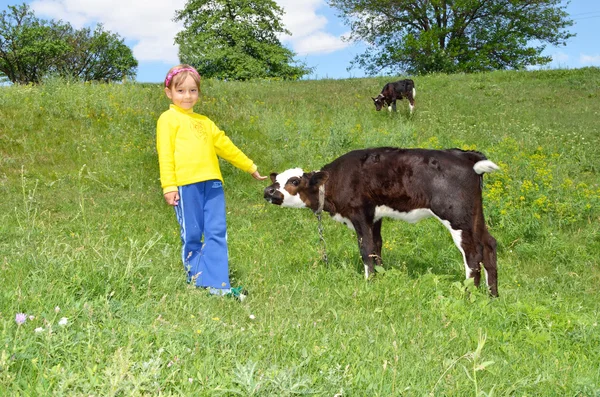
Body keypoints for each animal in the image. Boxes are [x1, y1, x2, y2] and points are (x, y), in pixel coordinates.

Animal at [264, 147, 500, 296]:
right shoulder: (375, 217)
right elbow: (377, 247)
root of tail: (465, 155)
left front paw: (369, 283)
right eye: (276, 180)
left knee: (473, 253)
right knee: (489, 244)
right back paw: (492, 295)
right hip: (474, 215)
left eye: (294, 181)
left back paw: (469, 294)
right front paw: (381, 277)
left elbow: (366, 249)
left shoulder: (360, 214)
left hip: (457, 216)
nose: (268, 191)